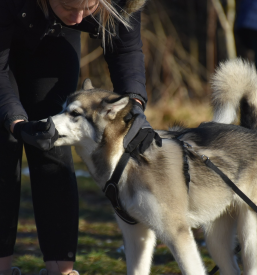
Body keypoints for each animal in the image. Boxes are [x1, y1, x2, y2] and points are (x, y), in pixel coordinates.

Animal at [51, 58, 256, 275]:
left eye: (74, 113)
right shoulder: (137, 234)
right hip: (215, 238)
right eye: (61, 109)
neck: (124, 160)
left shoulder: (176, 233)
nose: (43, 123)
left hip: (249, 235)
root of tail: (251, 131)